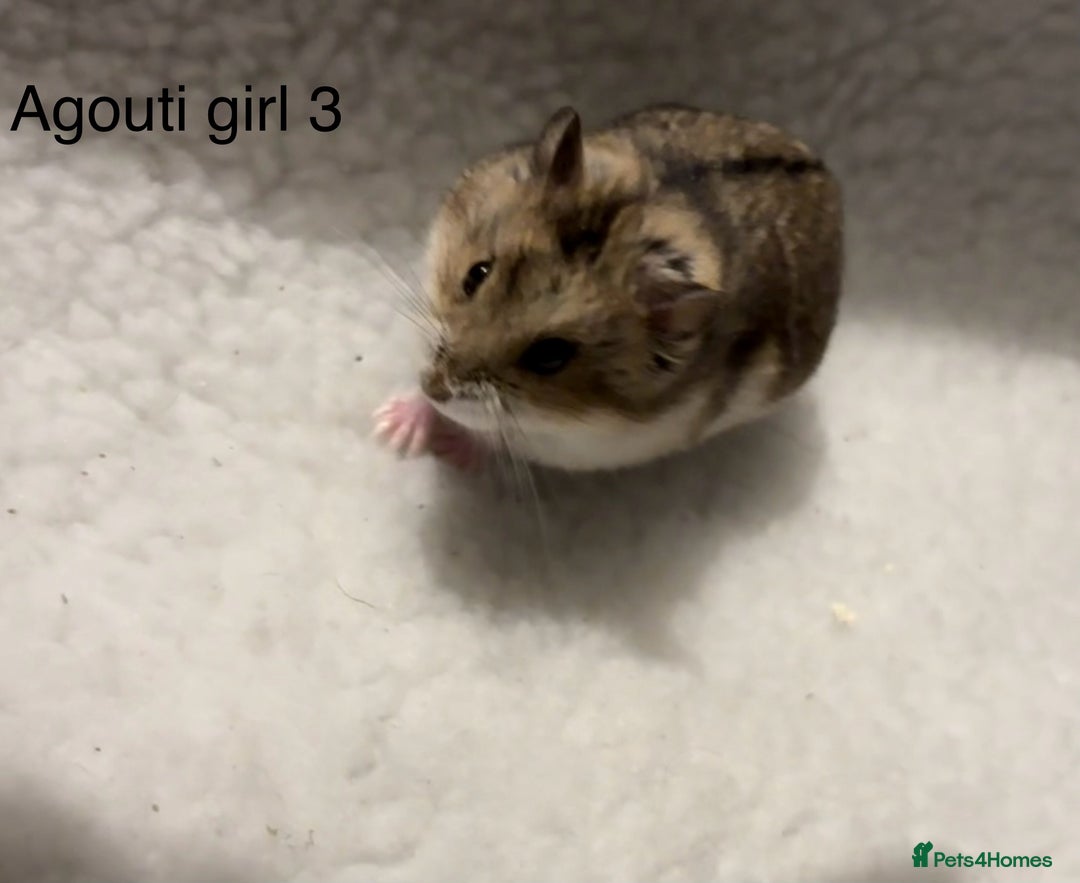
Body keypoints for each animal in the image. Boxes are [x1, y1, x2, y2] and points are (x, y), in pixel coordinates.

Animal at [374, 103, 843, 472]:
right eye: (476, 274)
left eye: (550, 356)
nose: (434, 387)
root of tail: (820, 166)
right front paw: (390, 430)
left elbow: (489, 436)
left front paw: (437, 446)